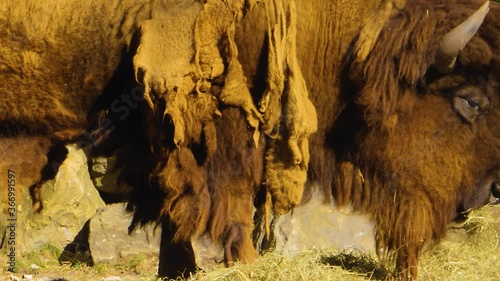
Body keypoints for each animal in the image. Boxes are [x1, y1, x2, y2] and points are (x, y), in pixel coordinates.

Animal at [0, 0, 498, 280]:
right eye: (470, 100)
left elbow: (176, 214)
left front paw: (180, 270)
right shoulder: (221, 121)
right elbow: (233, 200)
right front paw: (246, 263)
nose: (493, 190)